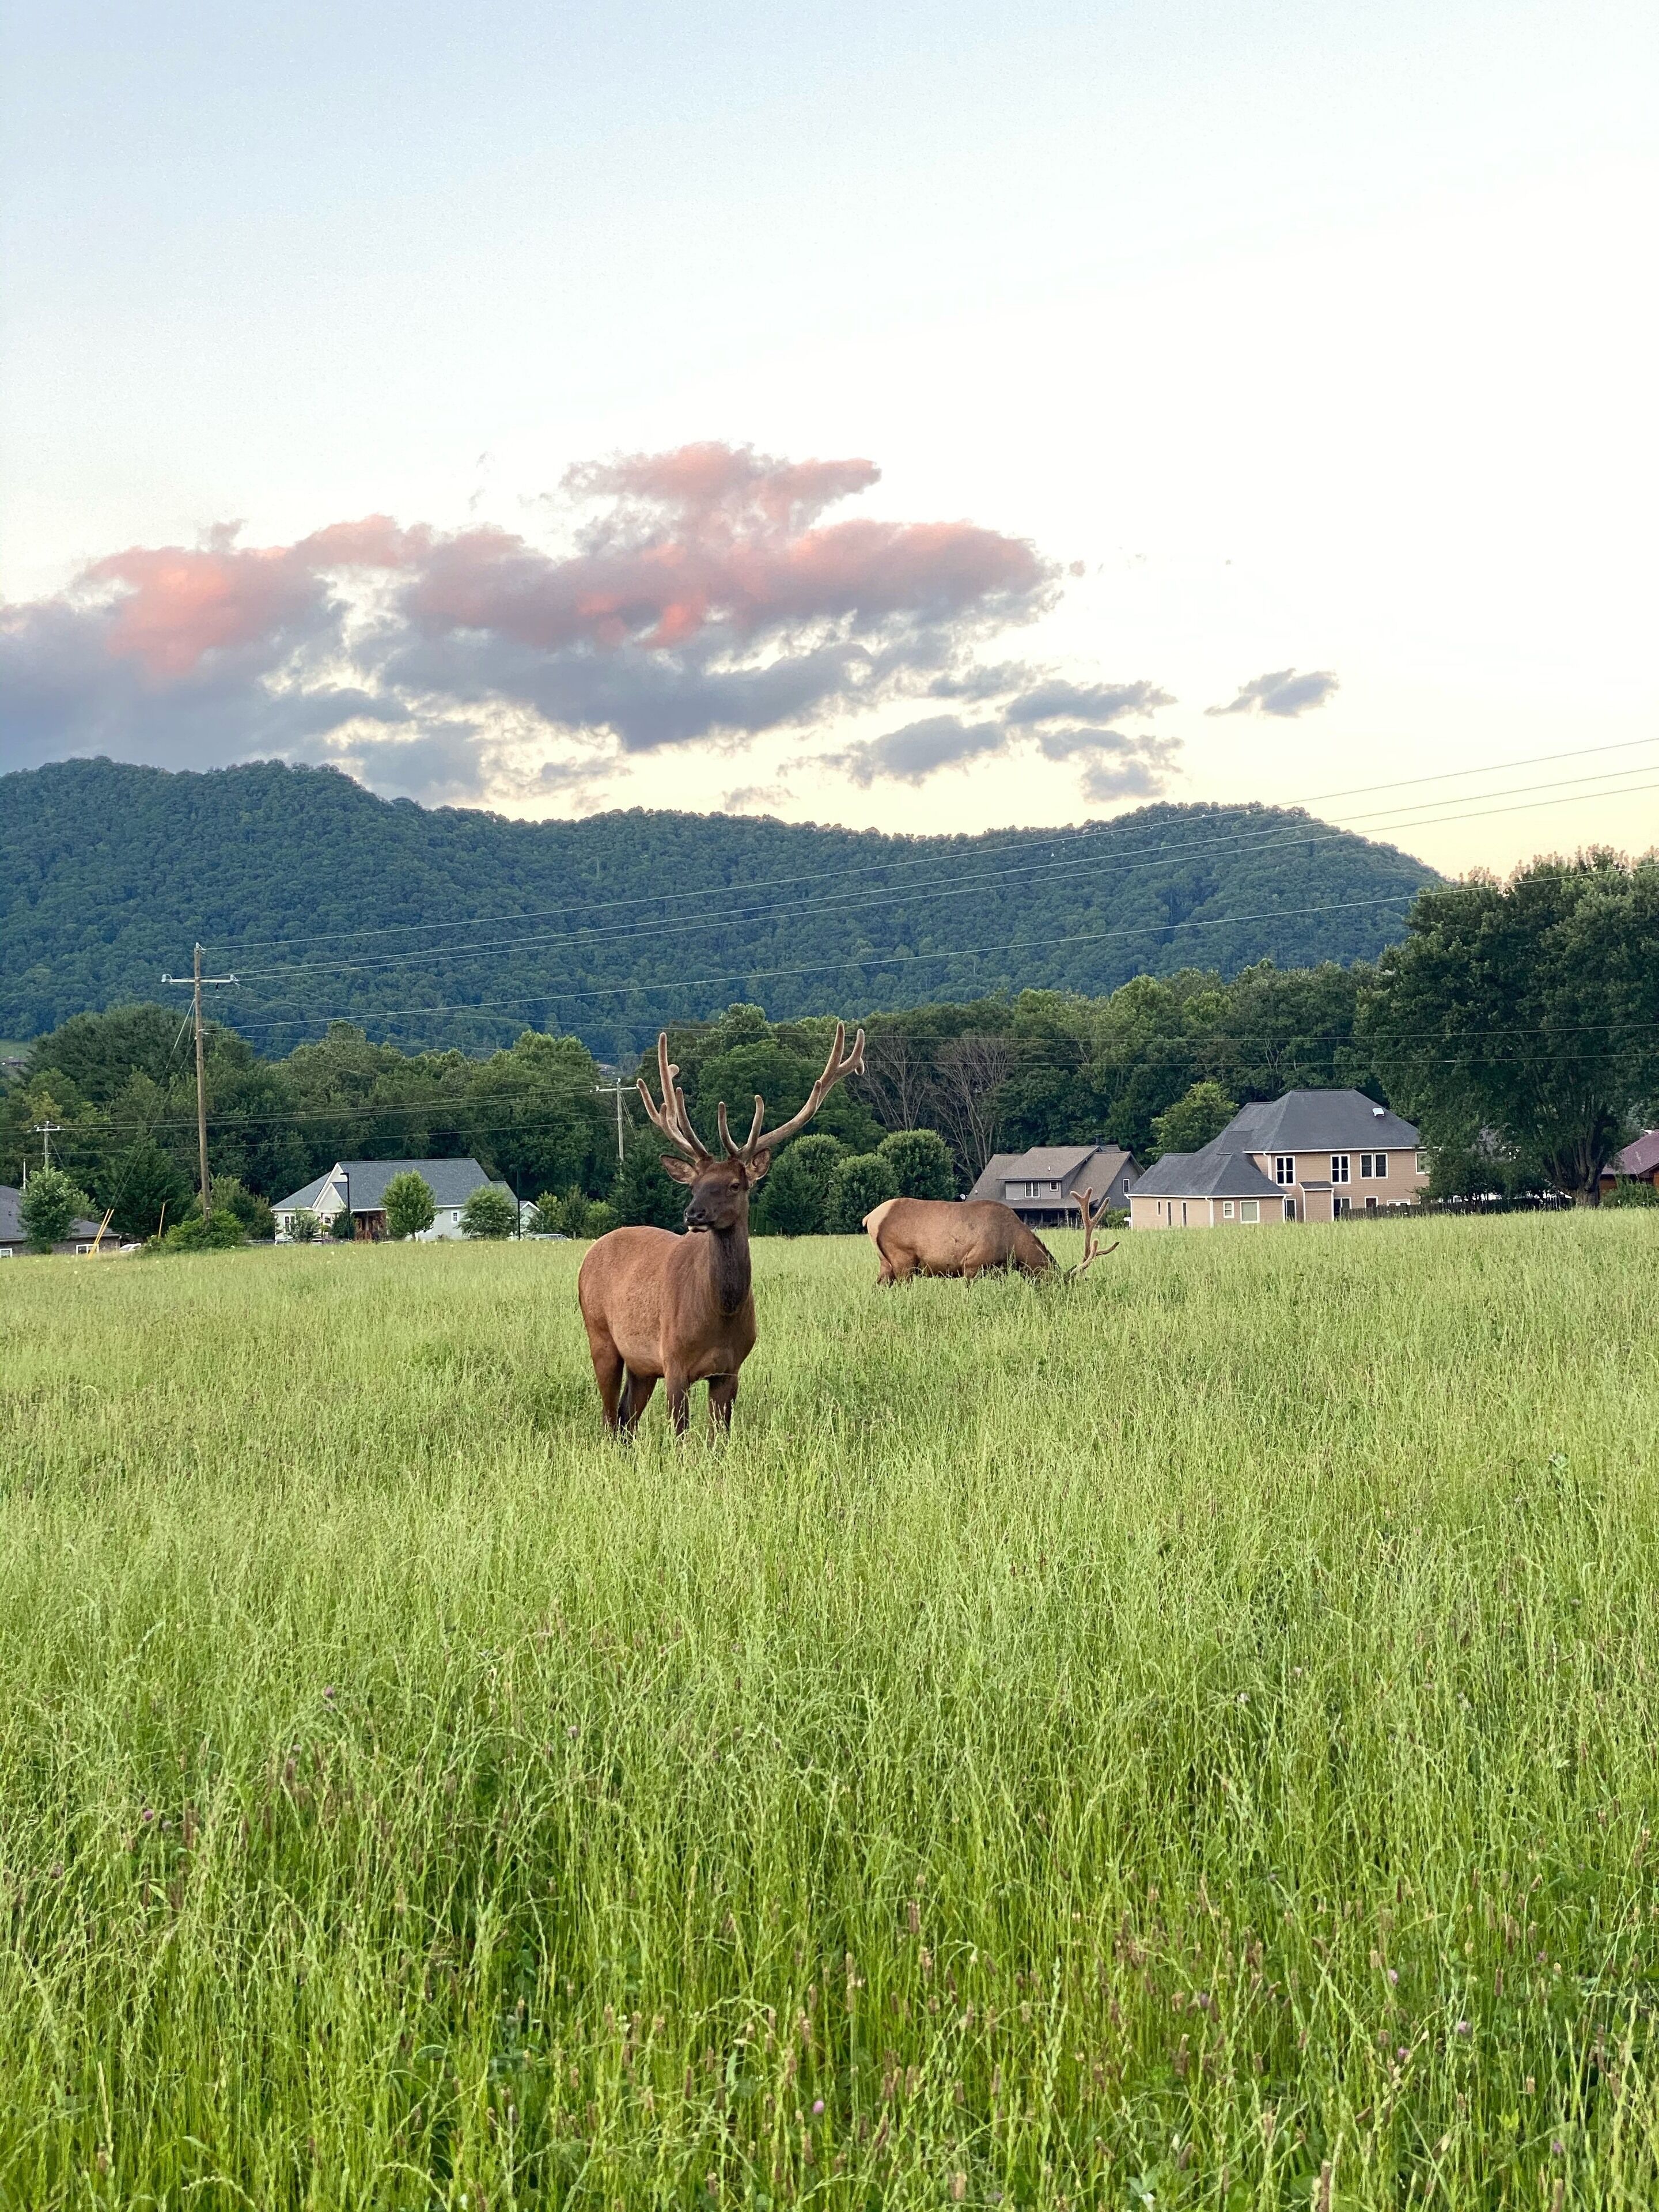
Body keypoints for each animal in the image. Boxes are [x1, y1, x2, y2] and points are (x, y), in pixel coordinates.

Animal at [577, 1022, 865, 1436]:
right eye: (694, 1185)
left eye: (734, 1185)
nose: (692, 1214)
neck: (720, 1314)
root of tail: (591, 1253)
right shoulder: (674, 1360)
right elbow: (682, 1436)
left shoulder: (731, 1369)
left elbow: (720, 1437)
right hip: (599, 1334)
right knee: (609, 1418)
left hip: (641, 1364)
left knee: (626, 1416)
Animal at [862, 1183, 1117, 1284]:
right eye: (1057, 1284)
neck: (1012, 1245)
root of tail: (871, 1218)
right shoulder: (972, 1265)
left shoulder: (999, 1270)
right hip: (903, 1259)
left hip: (886, 1263)